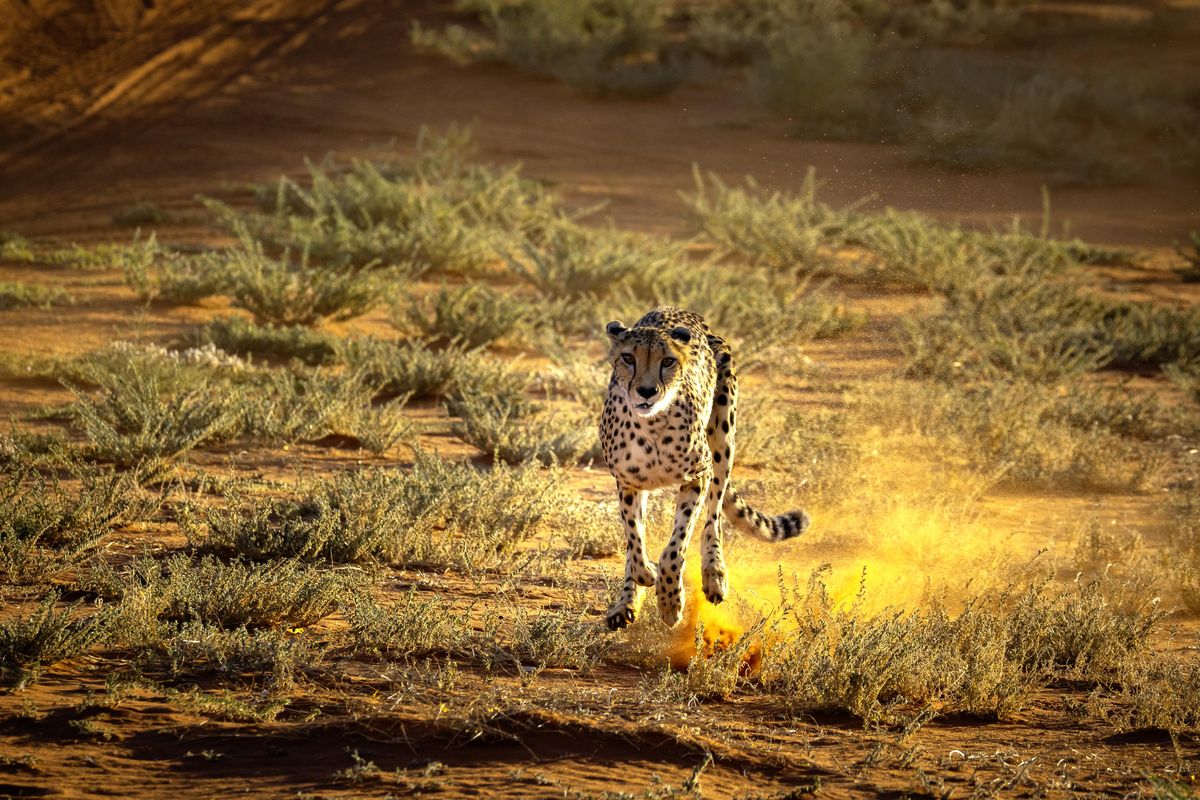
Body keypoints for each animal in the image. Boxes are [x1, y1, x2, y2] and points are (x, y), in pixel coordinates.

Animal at [599, 306, 811, 631]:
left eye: (668, 361)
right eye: (628, 358)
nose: (647, 391)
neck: (652, 425)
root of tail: (677, 310)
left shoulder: (697, 476)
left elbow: (676, 544)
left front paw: (670, 601)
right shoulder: (627, 482)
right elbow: (634, 540)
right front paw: (645, 575)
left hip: (722, 440)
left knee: (714, 517)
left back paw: (714, 574)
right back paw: (626, 602)